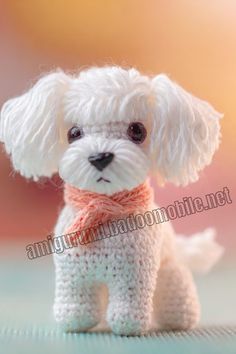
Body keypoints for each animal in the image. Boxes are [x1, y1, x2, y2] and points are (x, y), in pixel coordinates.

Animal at [0, 66, 222, 334]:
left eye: (137, 131)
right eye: (74, 133)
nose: (100, 157)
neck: (103, 209)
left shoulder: (133, 275)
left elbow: (129, 302)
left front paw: (127, 323)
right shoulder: (74, 275)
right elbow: (77, 303)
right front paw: (75, 320)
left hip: (169, 269)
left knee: (176, 291)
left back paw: (179, 318)